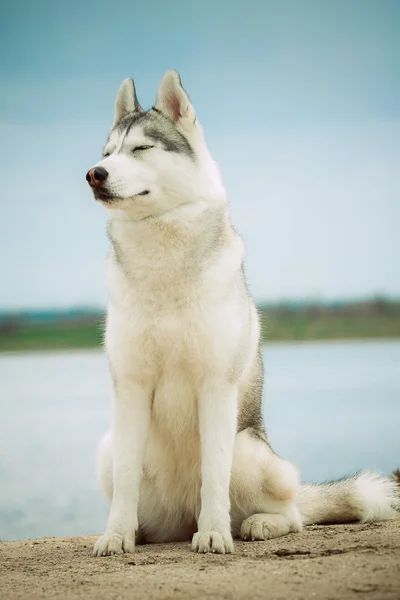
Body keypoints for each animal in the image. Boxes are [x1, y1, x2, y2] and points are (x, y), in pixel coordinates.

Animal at [86, 71, 398, 556]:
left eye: (140, 149)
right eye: (107, 154)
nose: (94, 174)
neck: (164, 266)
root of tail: (181, 517)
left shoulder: (216, 387)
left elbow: (214, 475)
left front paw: (214, 533)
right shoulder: (131, 387)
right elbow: (125, 484)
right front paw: (116, 535)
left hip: (251, 451)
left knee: (293, 514)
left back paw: (258, 524)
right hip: (109, 446)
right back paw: (142, 531)